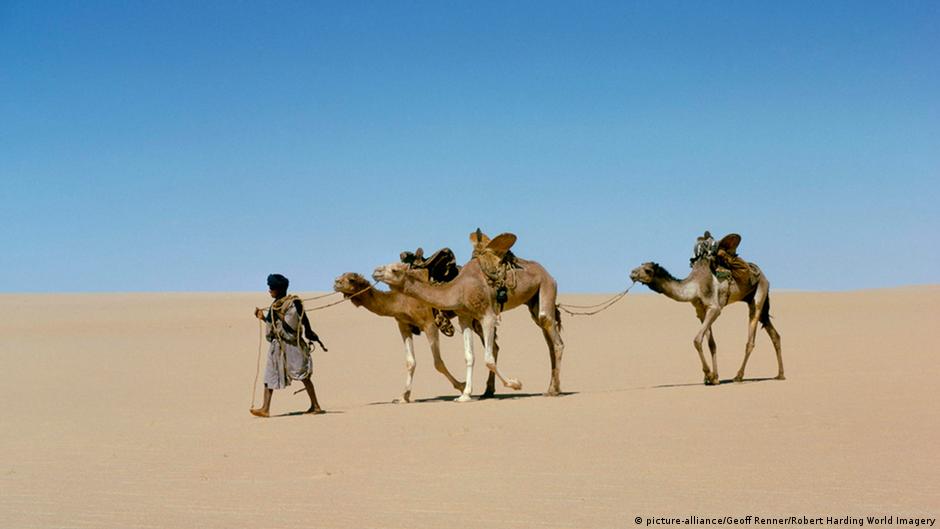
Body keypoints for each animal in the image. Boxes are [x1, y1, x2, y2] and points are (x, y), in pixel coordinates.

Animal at [334, 272, 497, 402]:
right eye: (341, 275)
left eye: (351, 279)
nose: (336, 282)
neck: (400, 301)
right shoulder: (403, 325)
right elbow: (410, 362)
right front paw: (403, 396)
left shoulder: (429, 324)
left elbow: (438, 363)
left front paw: (462, 386)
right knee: (494, 346)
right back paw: (489, 391)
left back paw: (488, 391)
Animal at [373, 230, 564, 402]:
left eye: (395, 270)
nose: (376, 271)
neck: (458, 288)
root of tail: (548, 273)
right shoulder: (464, 317)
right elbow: (469, 356)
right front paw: (465, 395)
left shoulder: (487, 316)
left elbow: (489, 359)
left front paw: (515, 384)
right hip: (533, 301)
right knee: (547, 338)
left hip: (547, 286)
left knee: (554, 336)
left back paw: (553, 390)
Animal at [629, 234, 784, 385]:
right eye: (641, 264)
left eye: (647, 270)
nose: (632, 273)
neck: (694, 287)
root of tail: (763, 276)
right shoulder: (701, 311)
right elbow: (712, 344)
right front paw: (715, 378)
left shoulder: (714, 308)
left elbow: (697, 340)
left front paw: (708, 374)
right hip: (755, 300)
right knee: (774, 334)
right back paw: (780, 375)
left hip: (758, 295)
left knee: (751, 338)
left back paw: (739, 376)